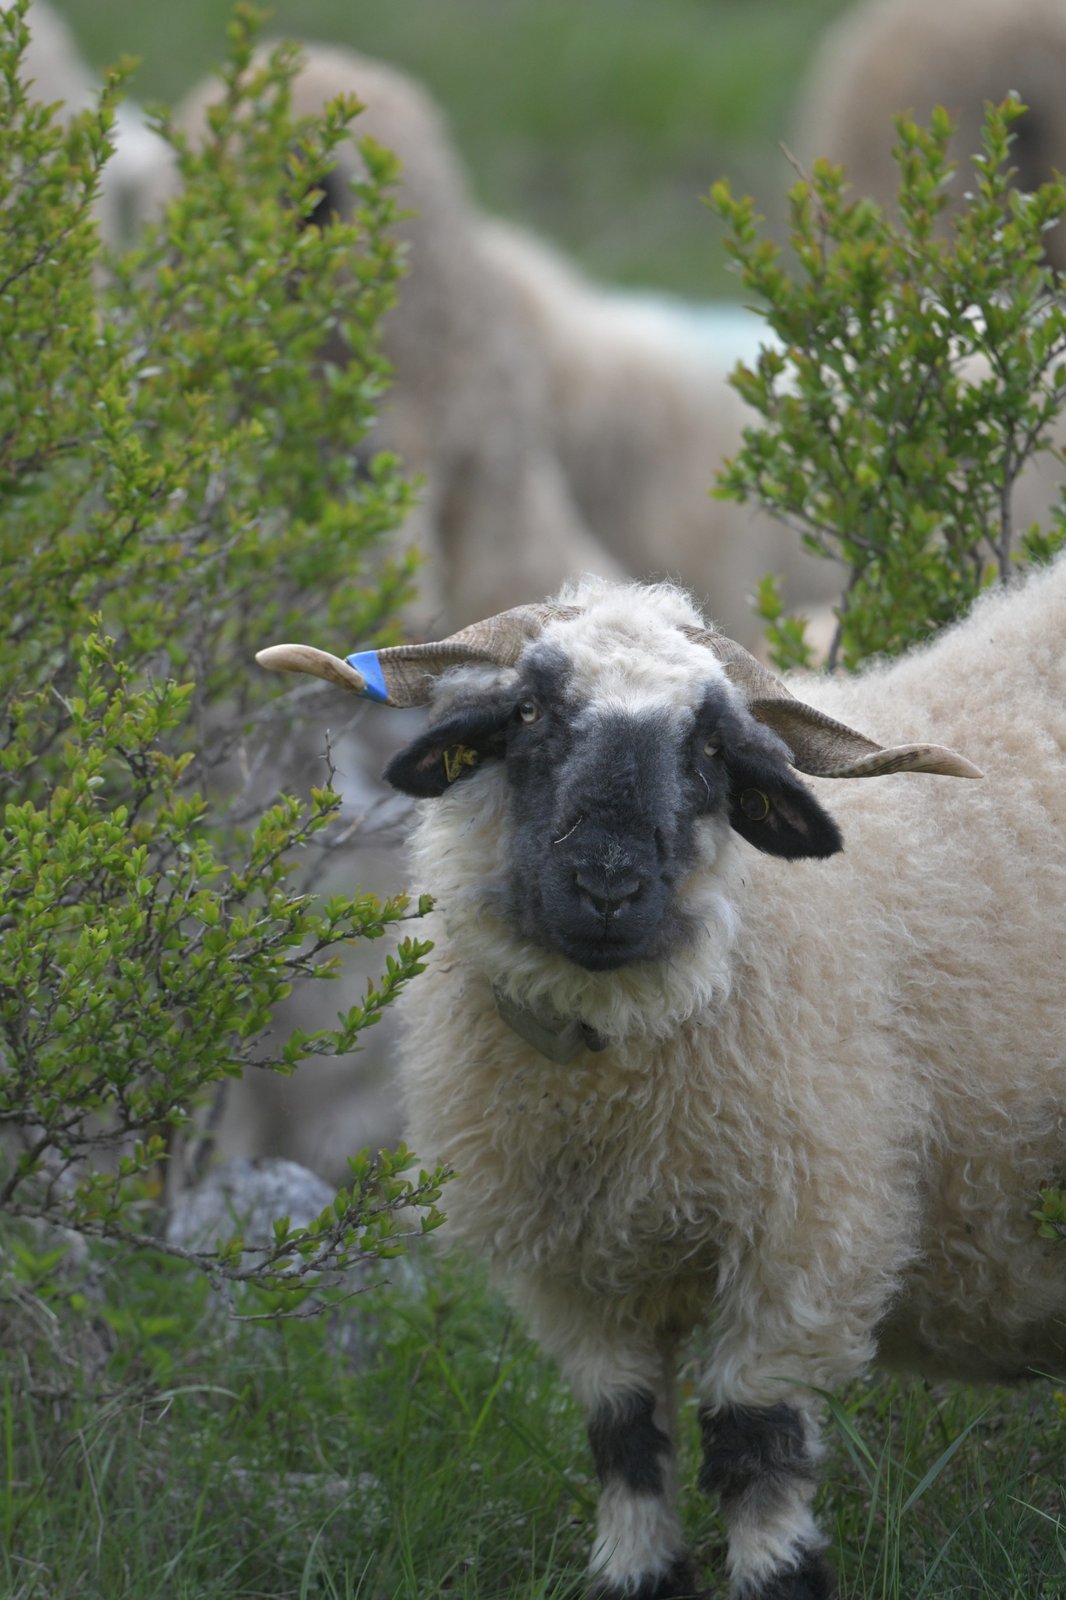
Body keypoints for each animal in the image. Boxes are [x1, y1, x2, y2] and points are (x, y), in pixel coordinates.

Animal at [255, 553, 1066, 1598]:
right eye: (529, 712)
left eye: (712, 748)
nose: (607, 886)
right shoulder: (577, 1271)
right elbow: (626, 1437)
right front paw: (636, 1572)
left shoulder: (806, 1236)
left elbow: (755, 1443)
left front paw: (775, 1574)